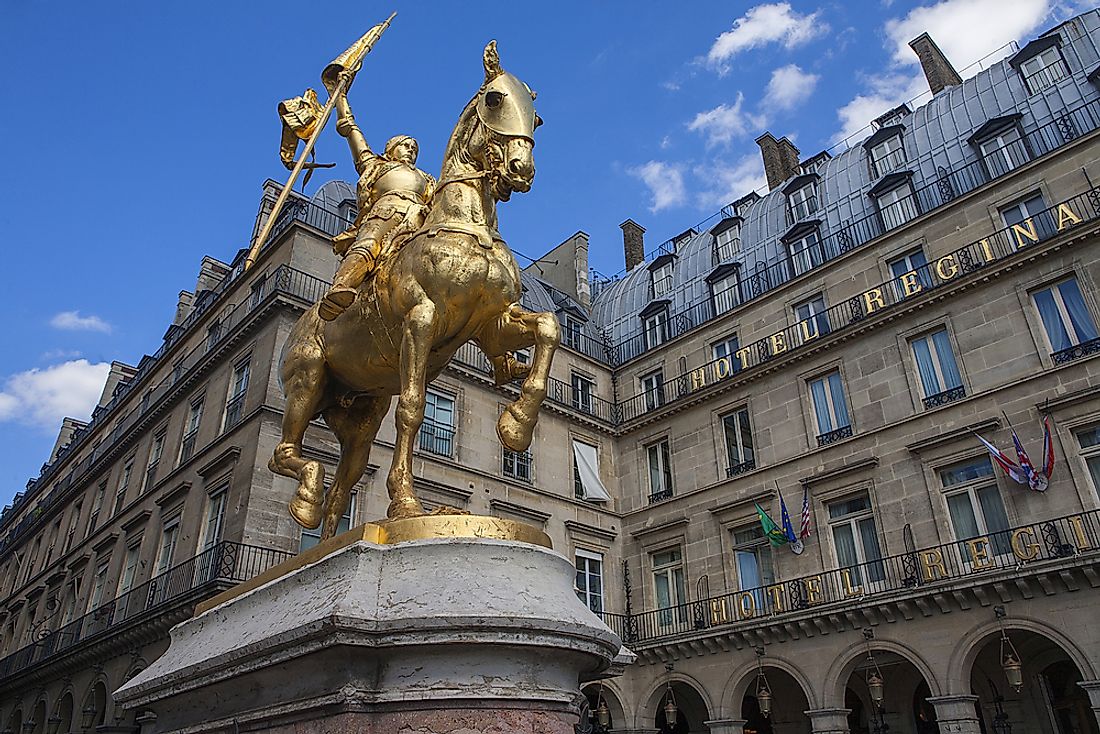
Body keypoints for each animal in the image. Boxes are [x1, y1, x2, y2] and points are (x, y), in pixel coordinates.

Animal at [270, 41, 554, 539]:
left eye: (536, 118)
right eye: (495, 99)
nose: (521, 170)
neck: (465, 225)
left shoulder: (491, 324)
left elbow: (548, 327)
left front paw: (516, 425)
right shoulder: (421, 319)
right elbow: (414, 408)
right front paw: (406, 503)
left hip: (359, 416)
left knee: (340, 490)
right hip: (307, 380)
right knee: (284, 453)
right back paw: (305, 499)